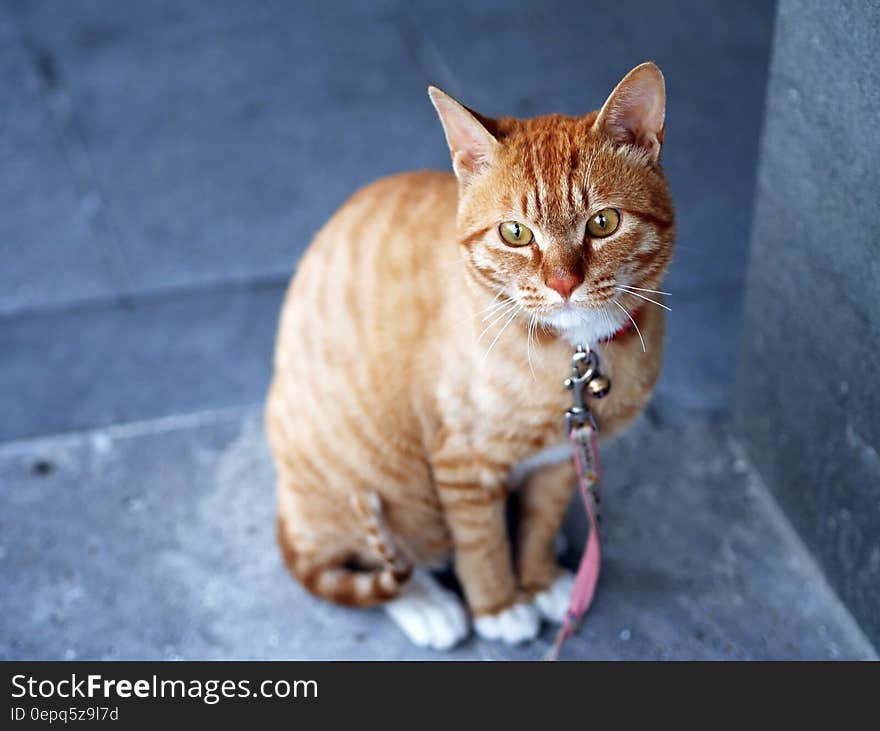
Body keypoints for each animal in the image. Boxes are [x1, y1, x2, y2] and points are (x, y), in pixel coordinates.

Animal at [266, 61, 672, 648]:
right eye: (515, 233)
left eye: (603, 223)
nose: (563, 283)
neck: (575, 354)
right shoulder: (461, 460)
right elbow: (481, 544)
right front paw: (499, 604)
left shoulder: (560, 456)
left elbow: (541, 519)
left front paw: (540, 577)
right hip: (375, 483)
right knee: (383, 559)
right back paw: (428, 605)